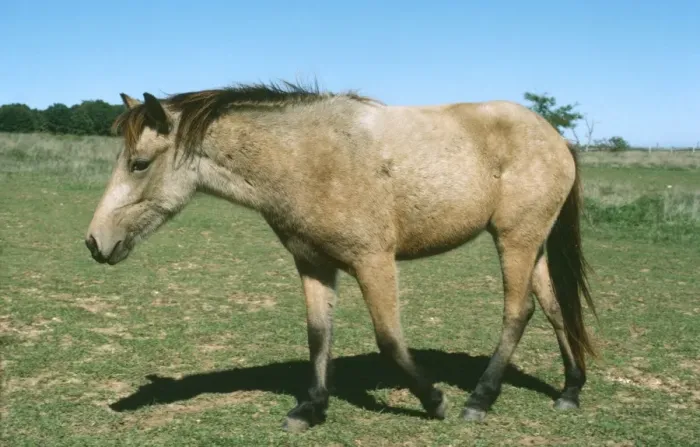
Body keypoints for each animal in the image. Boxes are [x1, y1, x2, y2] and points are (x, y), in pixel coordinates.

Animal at [84, 80, 597, 432]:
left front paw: (433, 400)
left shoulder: (374, 261)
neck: (307, 158)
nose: (94, 242)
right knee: (553, 308)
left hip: (515, 240)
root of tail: (555, 137)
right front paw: (311, 408)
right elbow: (318, 334)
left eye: (139, 164)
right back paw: (570, 390)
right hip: (530, 244)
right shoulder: (313, 264)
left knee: (518, 311)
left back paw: (480, 399)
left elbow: (389, 338)